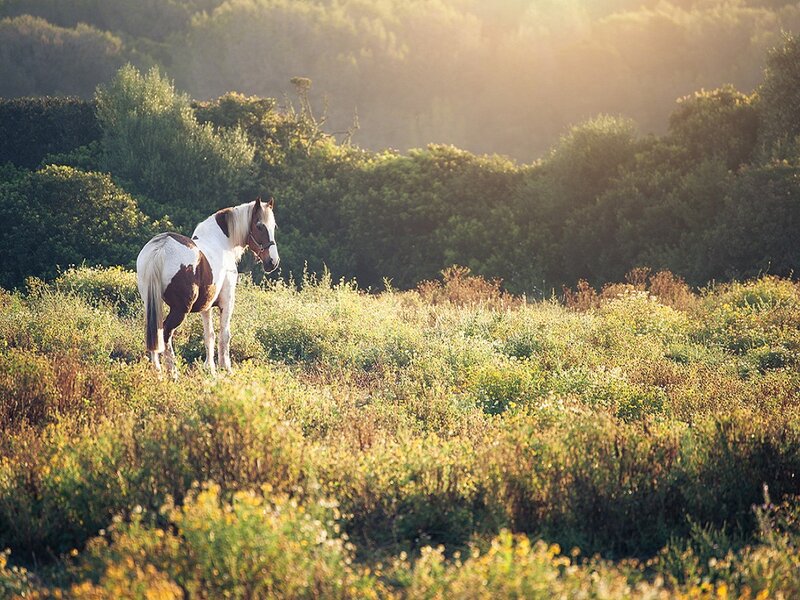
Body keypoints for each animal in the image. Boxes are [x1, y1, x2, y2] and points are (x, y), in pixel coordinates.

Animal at [136, 197, 279, 379]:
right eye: (260, 225)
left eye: (273, 226)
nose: (273, 262)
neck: (222, 243)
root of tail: (162, 247)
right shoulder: (227, 301)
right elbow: (224, 335)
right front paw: (226, 368)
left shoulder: (207, 306)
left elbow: (209, 335)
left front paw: (210, 368)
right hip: (180, 309)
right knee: (166, 331)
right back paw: (173, 372)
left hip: (151, 302)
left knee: (154, 331)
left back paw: (158, 371)